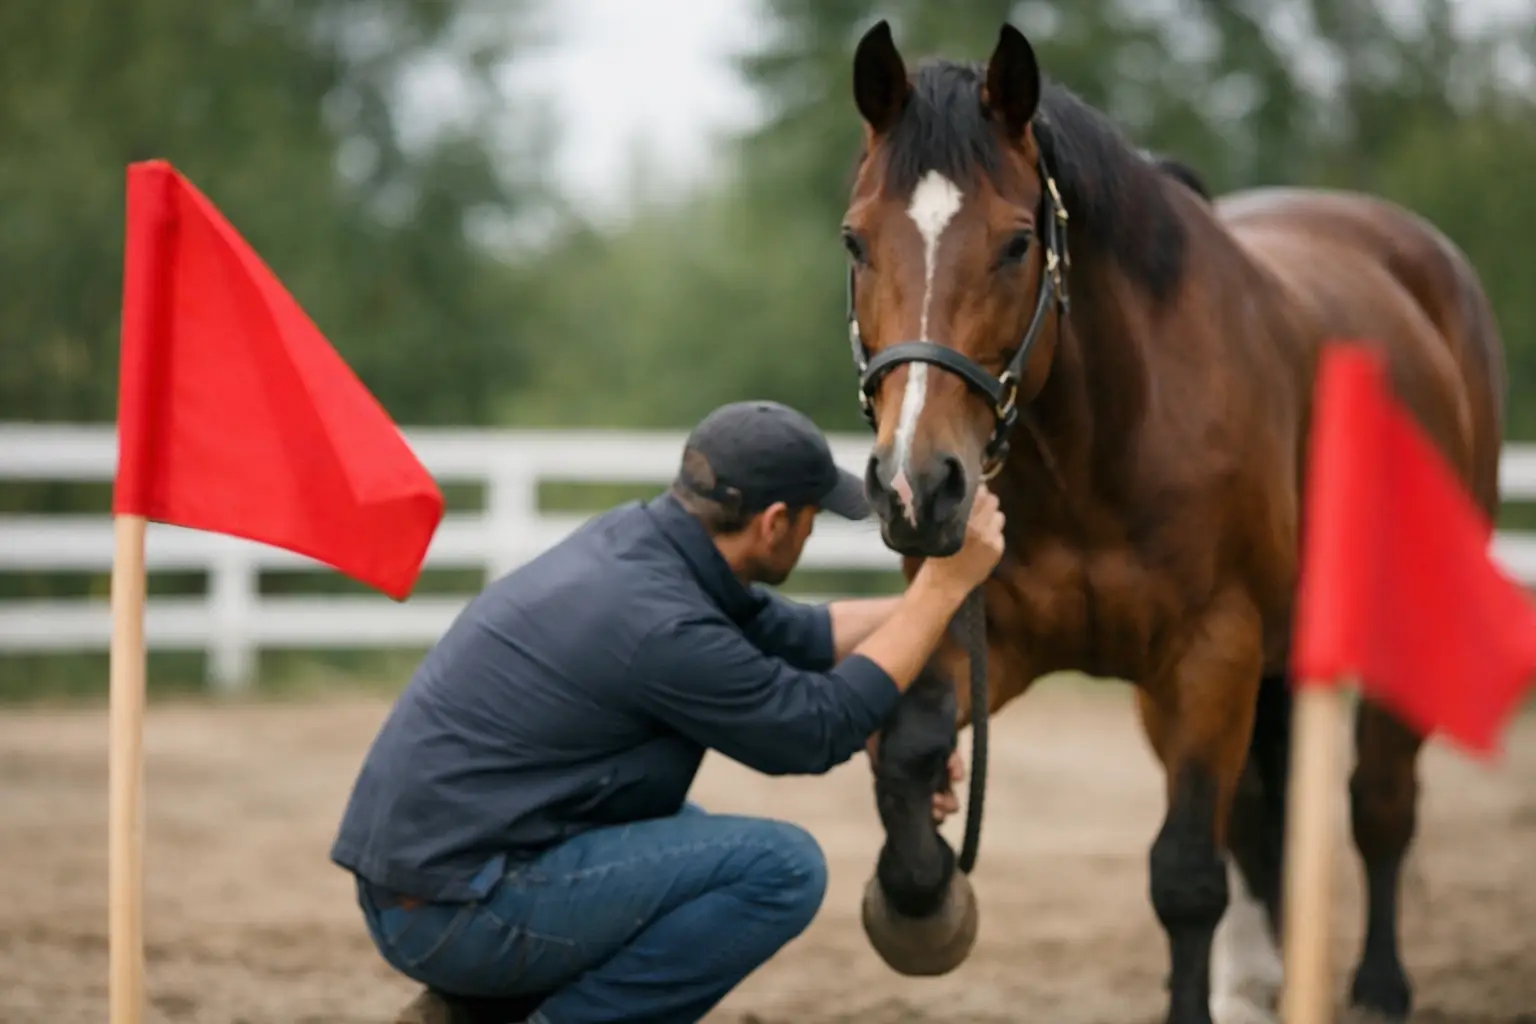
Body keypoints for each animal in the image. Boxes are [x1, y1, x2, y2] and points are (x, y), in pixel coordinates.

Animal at [842, 21, 1505, 1024]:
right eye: (855, 241)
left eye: (1017, 244)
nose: (917, 486)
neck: (1103, 436)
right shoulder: (989, 635)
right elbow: (906, 756)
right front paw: (921, 905)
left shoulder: (1212, 651)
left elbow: (1186, 874)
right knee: (1258, 816)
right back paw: (1256, 983)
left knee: (1378, 803)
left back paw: (1378, 988)